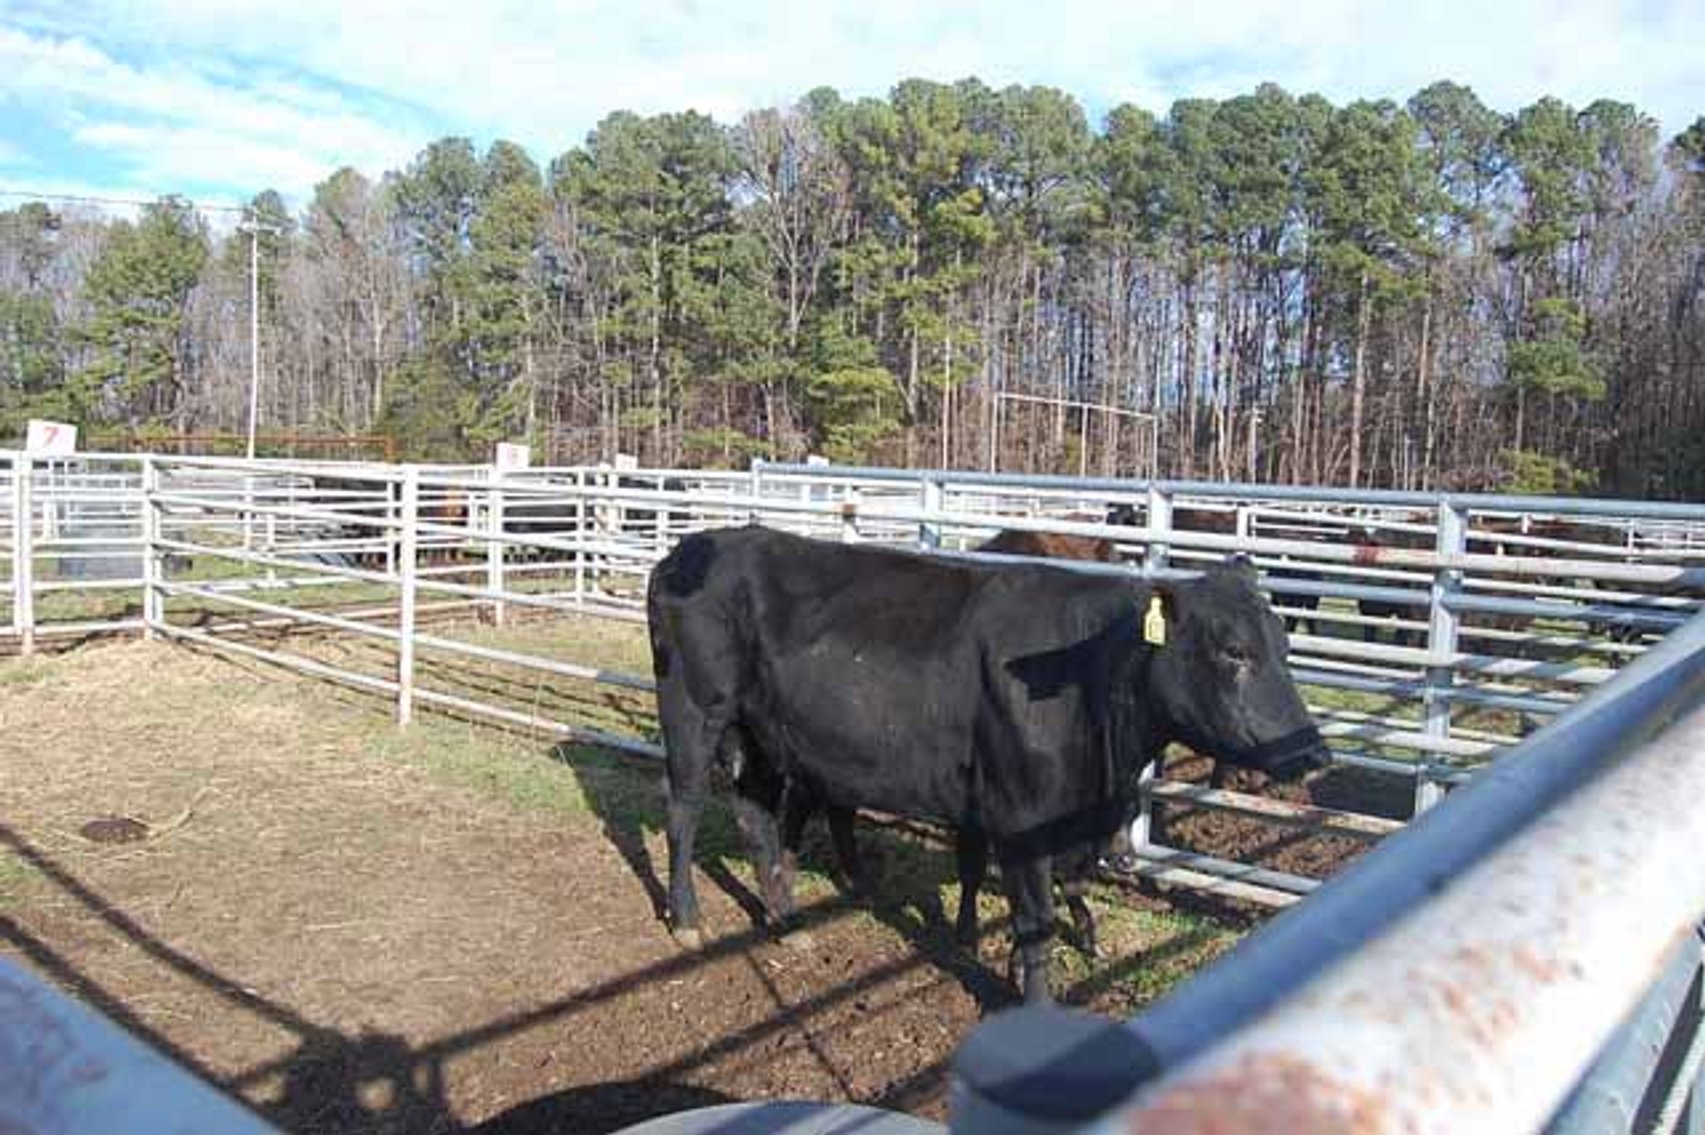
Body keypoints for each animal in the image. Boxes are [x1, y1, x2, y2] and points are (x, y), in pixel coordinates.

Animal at [646, 525, 1327, 1001]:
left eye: (1283, 644)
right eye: (1233, 650)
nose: (1314, 752)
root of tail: (694, 546)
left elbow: (1047, 883)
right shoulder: (1021, 817)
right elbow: (1036, 919)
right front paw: (1033, 1000)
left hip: (763, 734)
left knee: (756, 817)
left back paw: (786, 921)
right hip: (694, 712)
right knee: (683, 807)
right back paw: (687, 918)